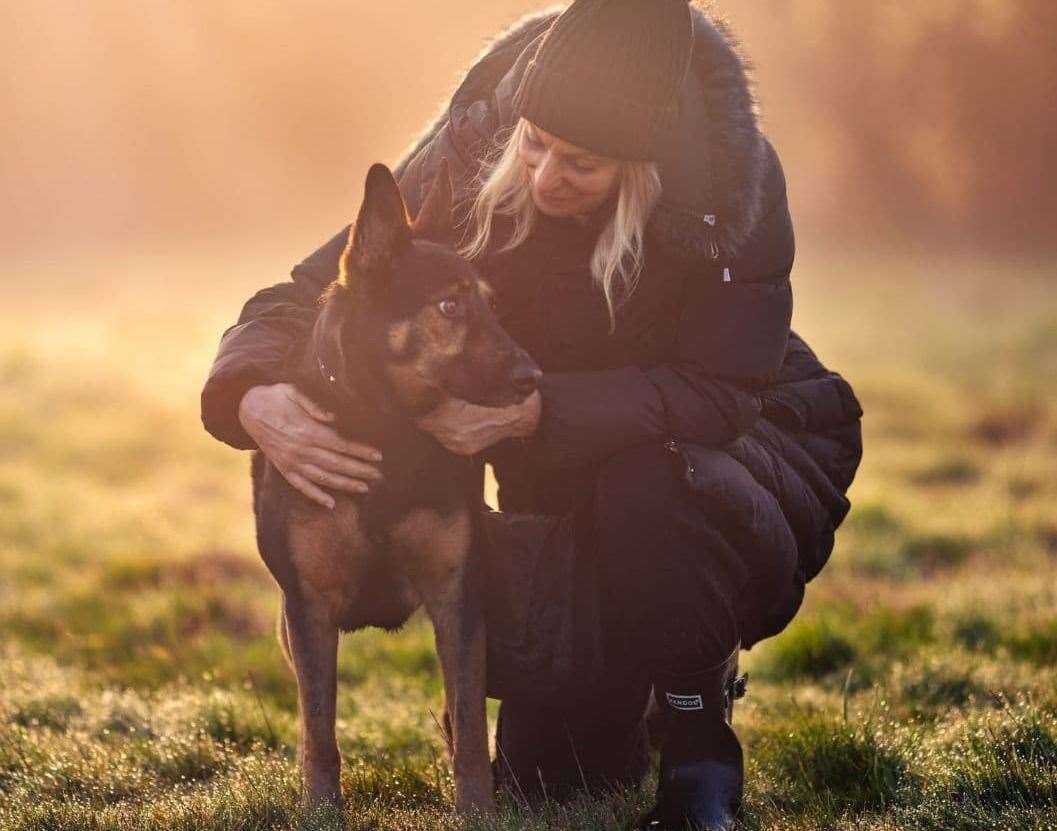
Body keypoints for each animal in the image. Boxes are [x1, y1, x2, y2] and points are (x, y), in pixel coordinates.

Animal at [251, 161, 541, 816]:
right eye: (449, 306)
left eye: (492, 306)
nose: (533, 377)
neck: (388, 430)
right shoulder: (309, 608)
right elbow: (321, 735)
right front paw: (321, 813)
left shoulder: (457, 597)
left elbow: (469, 730)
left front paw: (477, 813)